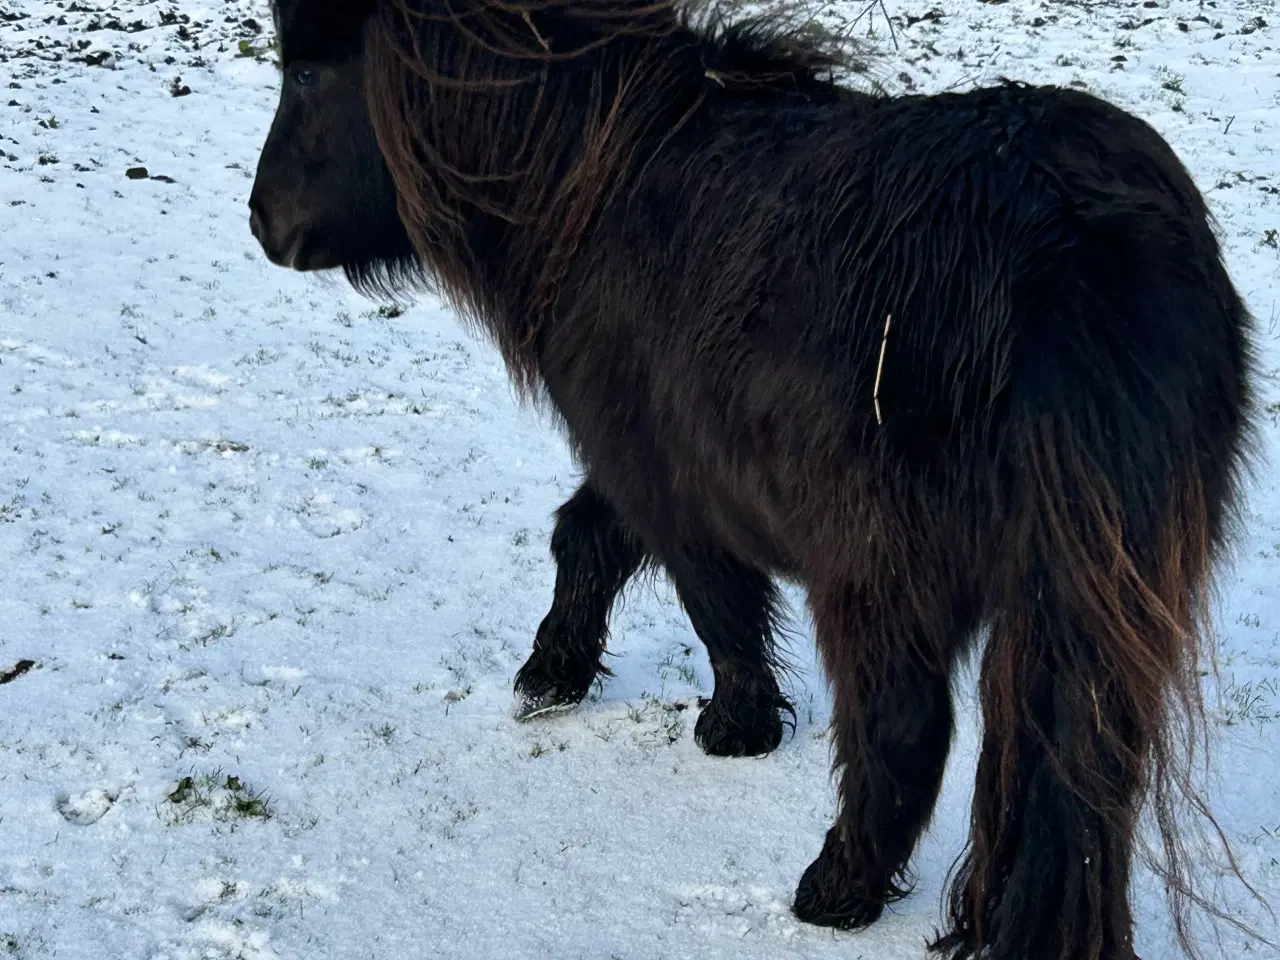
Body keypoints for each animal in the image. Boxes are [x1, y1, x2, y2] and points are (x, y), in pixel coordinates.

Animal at [247, 3, 1259, 957]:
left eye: (306, 72)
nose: (261, 222)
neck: (600, 183)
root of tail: (1076, 248)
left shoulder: (665, 477)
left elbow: (713, 604)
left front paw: (734, 726)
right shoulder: (647, 457)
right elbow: (589, 541)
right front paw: (552, 674)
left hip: (881, 576)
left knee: (901, 730)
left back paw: (838, 889)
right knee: (1085, 771)